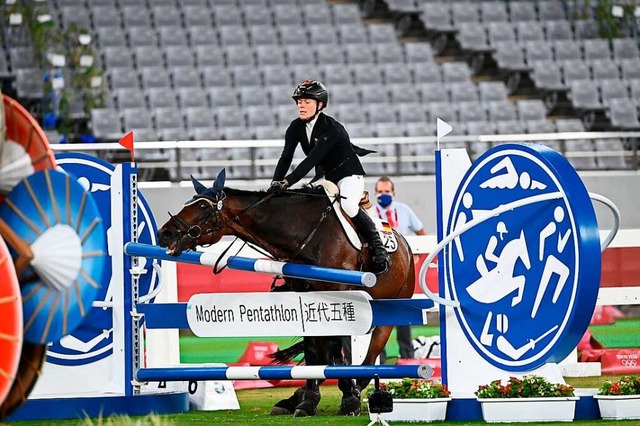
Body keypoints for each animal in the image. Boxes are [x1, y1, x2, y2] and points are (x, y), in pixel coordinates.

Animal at [156, 170, 416, 416]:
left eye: (202, 207)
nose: (165, 234)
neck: (306, 233)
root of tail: (403, 244)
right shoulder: (305, 296)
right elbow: (314, 352)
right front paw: (308, 401)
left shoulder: (338, 296)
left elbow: (333, 350)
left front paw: (348, 399)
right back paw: (297, 398)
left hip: (388, 309)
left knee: (369, 358)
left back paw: (354, 390)